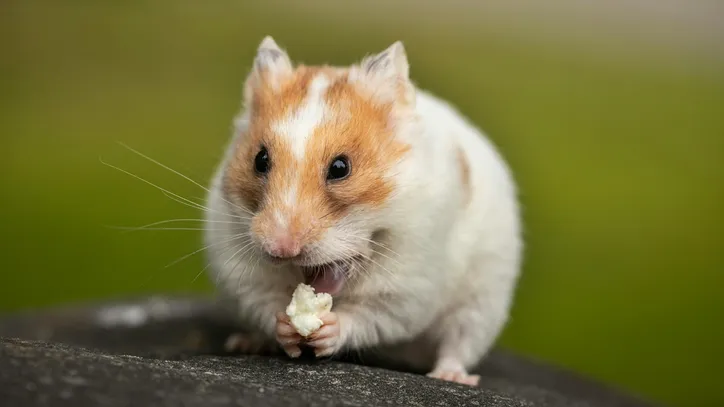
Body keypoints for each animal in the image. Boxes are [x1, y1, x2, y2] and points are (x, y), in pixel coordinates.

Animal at [203, 36, 523, 386]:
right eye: (260, 160)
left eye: (341, 168)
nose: (281, 249)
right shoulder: (243, 273)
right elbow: (266, 304)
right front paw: (287, 327)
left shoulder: (407, 289)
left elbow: (367, 316)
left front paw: (326, 328)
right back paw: (246, 342)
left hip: (482, 303)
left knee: (458, 343)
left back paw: (451, 376)